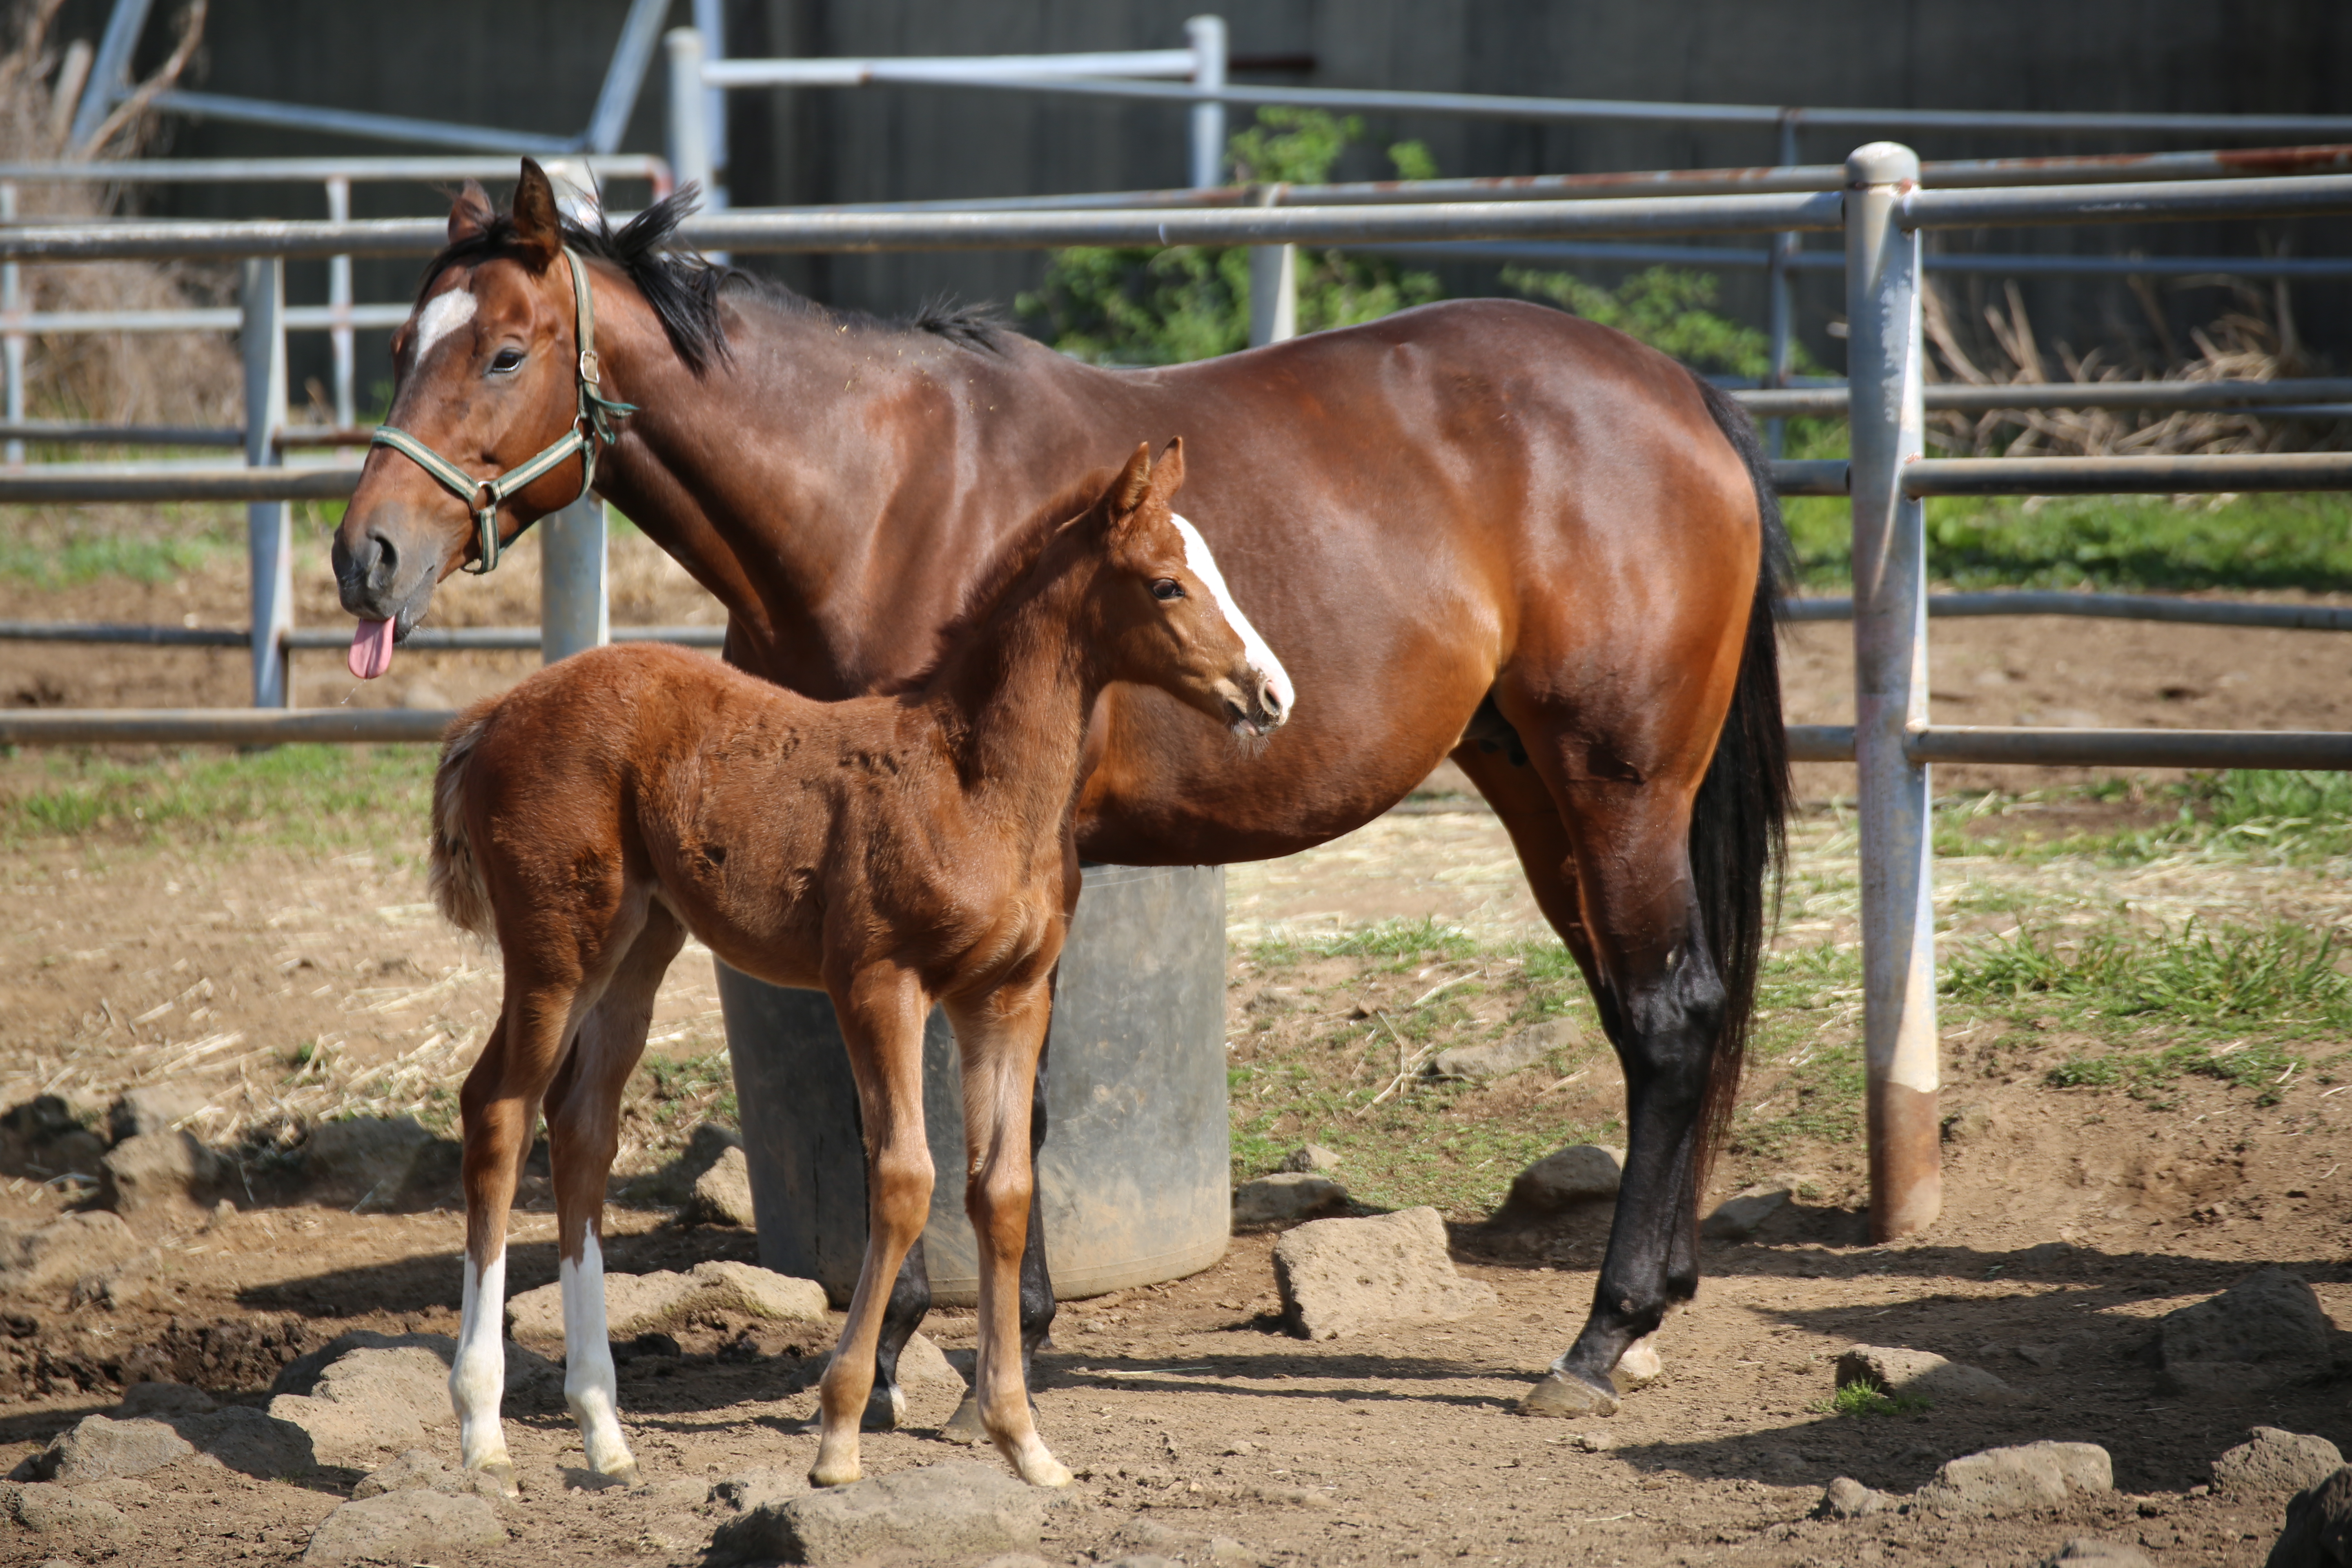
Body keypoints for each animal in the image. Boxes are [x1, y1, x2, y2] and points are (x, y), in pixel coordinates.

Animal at [437, 444, 1289, 1495]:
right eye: (1167, 583)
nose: (1271, 694)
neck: (975, 782)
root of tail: (495, 711)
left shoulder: (1008, 996)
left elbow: (1003, 1189)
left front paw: (1020, 1436)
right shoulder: (879, 983)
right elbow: (904, 1177)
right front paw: (841, 1424)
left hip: (639, 947)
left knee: (582, 1126)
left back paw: (603, 1427)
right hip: (557, 947)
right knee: (500, 1111)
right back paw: (482, 1424)